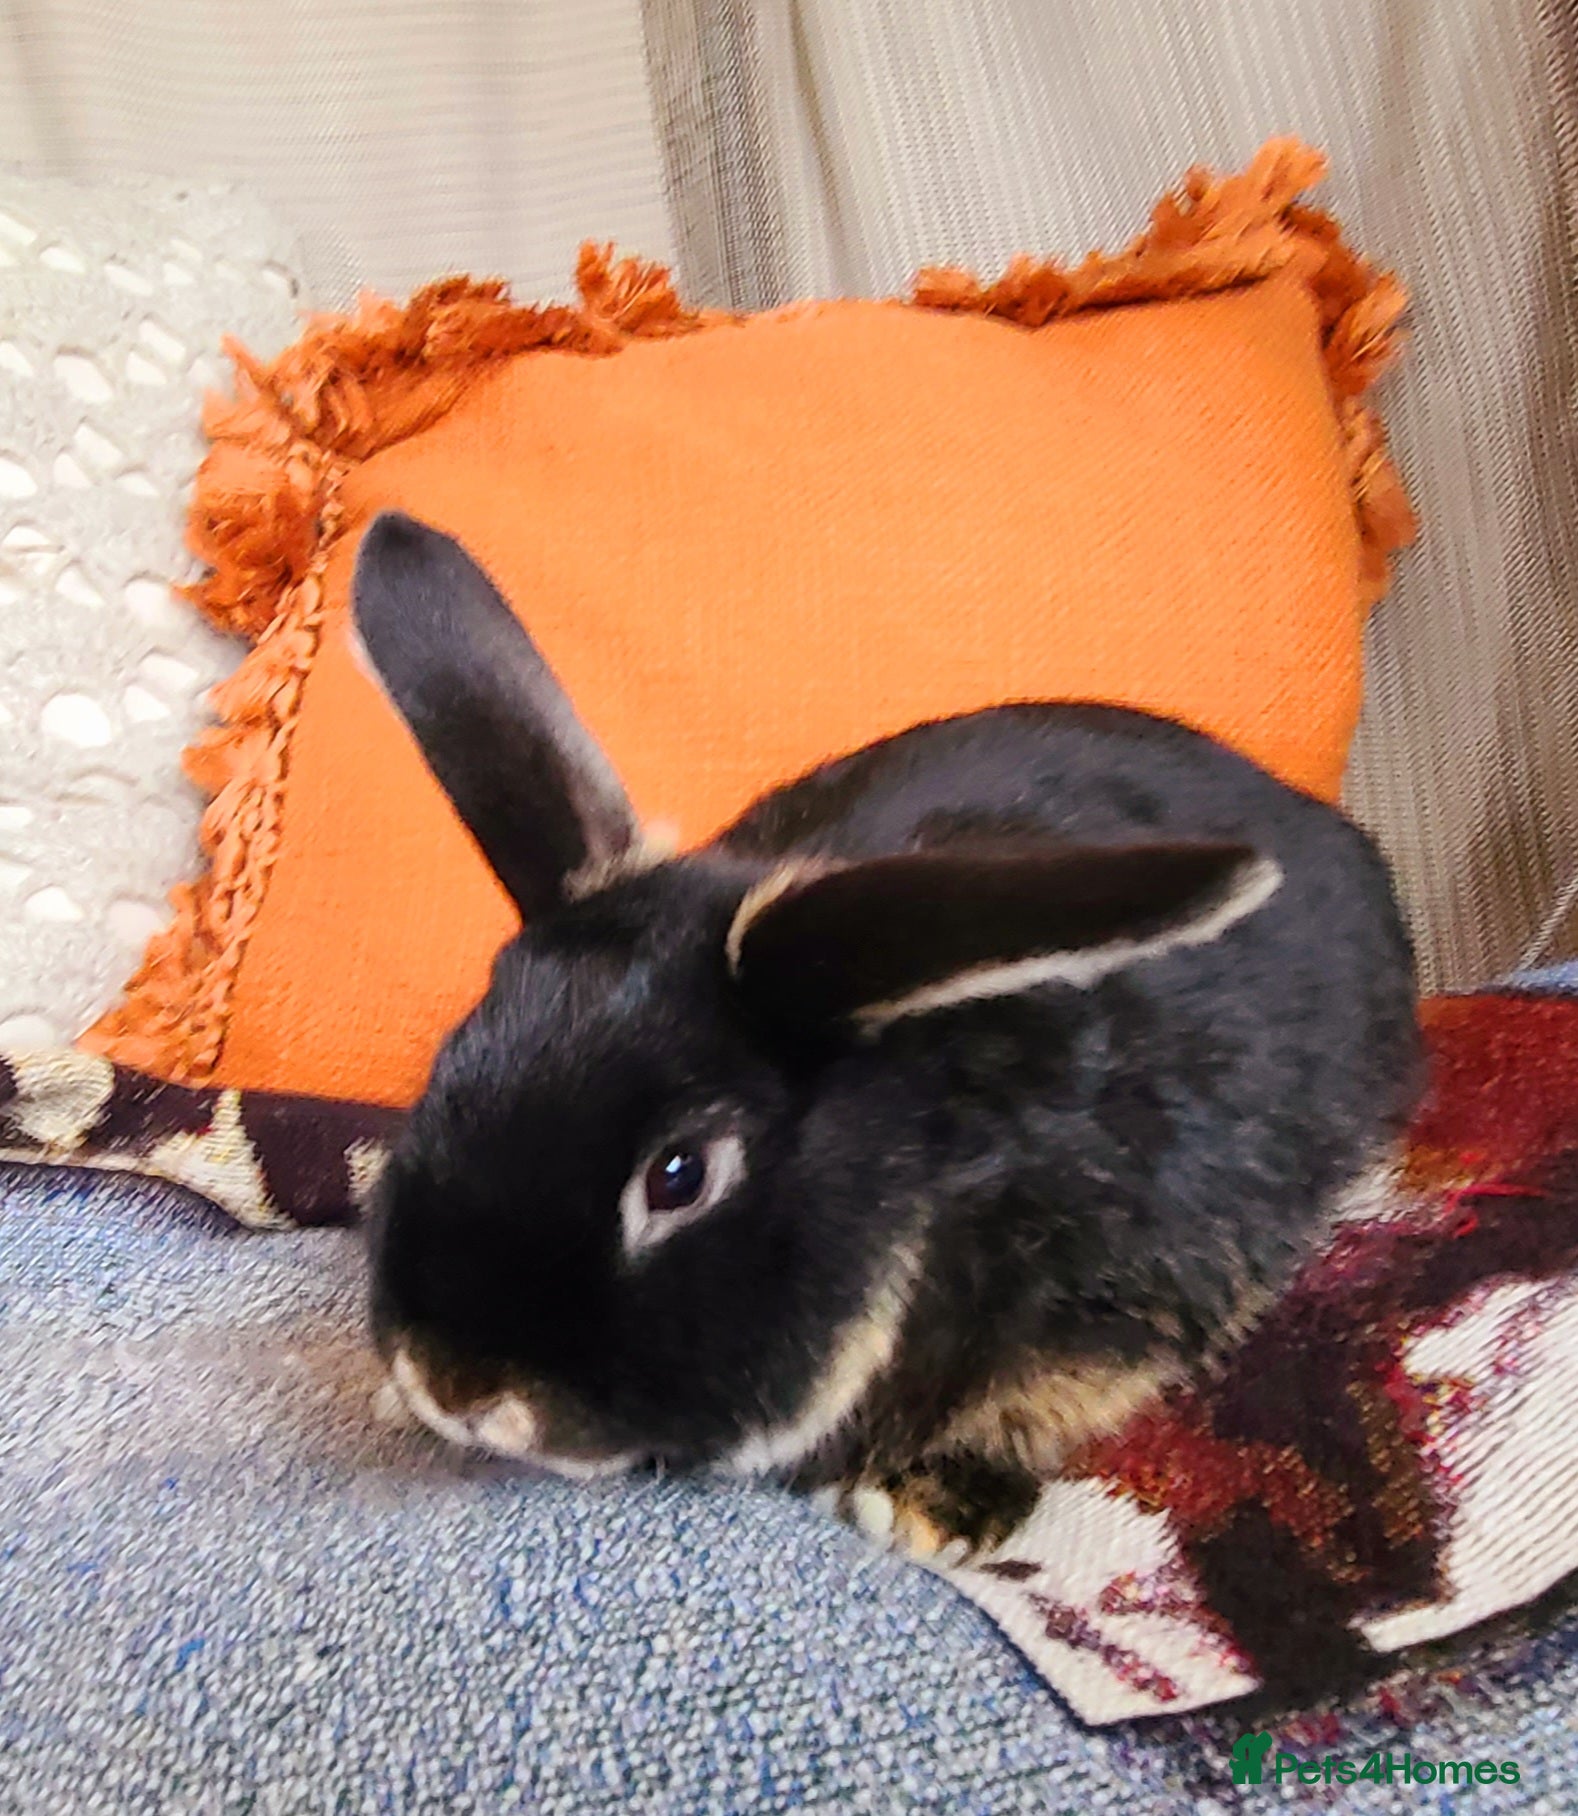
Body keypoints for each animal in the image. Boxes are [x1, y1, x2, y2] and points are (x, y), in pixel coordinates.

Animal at [353, 510, 1422, 1560]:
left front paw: (921, 1508)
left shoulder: (1130, 1295)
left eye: (680, 1176)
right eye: (446, 1067)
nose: (456, 1385)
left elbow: (1056, 1399)